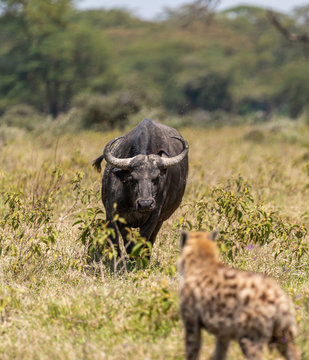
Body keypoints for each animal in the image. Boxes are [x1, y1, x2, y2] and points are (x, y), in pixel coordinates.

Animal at [92, 119, 188, 255]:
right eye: (133, 180)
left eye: (156, 179)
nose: (145, 204)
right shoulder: (117, 215)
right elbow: (127, 242)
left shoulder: (155, 216)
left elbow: (143, 240)